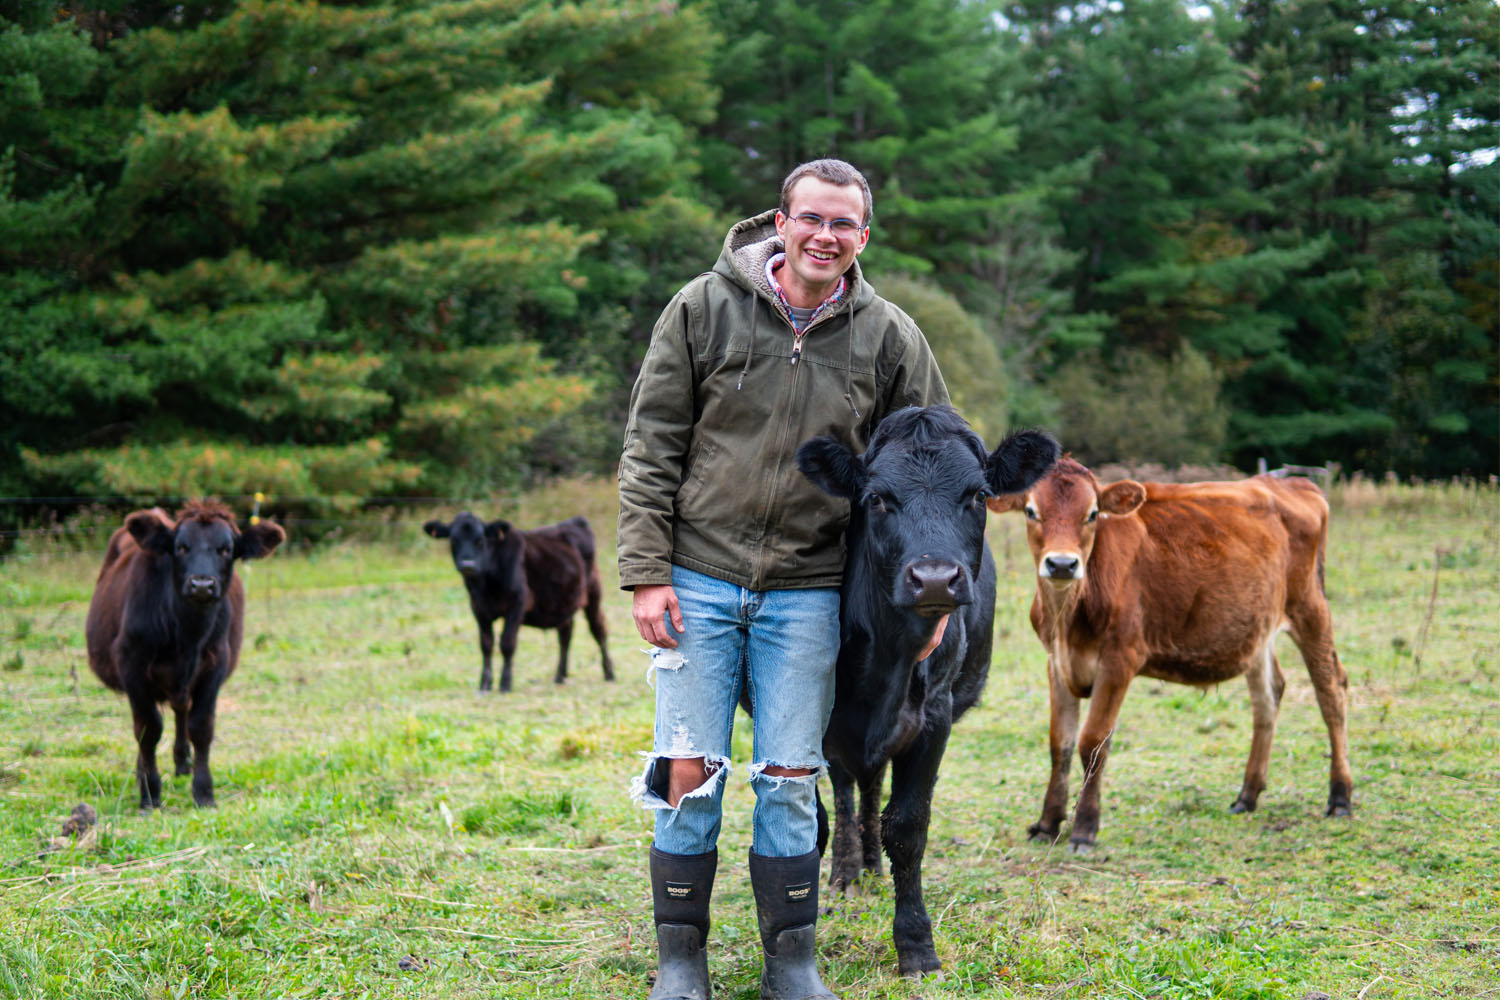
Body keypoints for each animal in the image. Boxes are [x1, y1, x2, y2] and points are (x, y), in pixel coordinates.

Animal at [85, 500, 286, 815]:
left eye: (226, 549)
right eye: (180, 547)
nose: (202, 584)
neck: (186, 634)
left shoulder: (215, 665)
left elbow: (201, 727)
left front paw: (204, 792)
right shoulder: (132, 666)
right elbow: (148, 729)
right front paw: (150, 793)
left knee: (181, 711)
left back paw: (182, 763)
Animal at [423, 512, 615, 692]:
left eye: (480, 541)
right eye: (454, 540)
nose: (467, 565)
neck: (485, 586)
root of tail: (575, 520)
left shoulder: (517, 604)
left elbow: (507, 643)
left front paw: (505, 684)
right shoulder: (478, 609)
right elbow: (486, 645)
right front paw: (485, 684)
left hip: (593, 593)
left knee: (598, 630)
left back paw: (609, 673)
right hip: (563, 601)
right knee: (565, 636)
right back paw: (560, 676)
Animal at [798, 407, 1056, 977]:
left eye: (978, 495)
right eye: (876, 498)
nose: (935, 579)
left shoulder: (932, 718)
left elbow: (907, 826)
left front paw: (916, 943)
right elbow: (816, 819)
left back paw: (871, 865)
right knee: (849, 790)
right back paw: (849, 871)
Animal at [990, 461, 1356, 851]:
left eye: (1092, 514)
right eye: (1031, 511)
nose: (1061, 564)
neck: (1068, 618)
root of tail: (1294, 484)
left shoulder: (1120, 658)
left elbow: (1092, 742)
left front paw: (1085, 829)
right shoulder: (1056, 662)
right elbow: (1060, 744)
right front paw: (1047, 823)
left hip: (1310, 607)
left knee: (1331, 691)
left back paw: (1340, 796)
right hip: (1258, 626)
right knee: (1268, 697)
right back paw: (1247, 795)